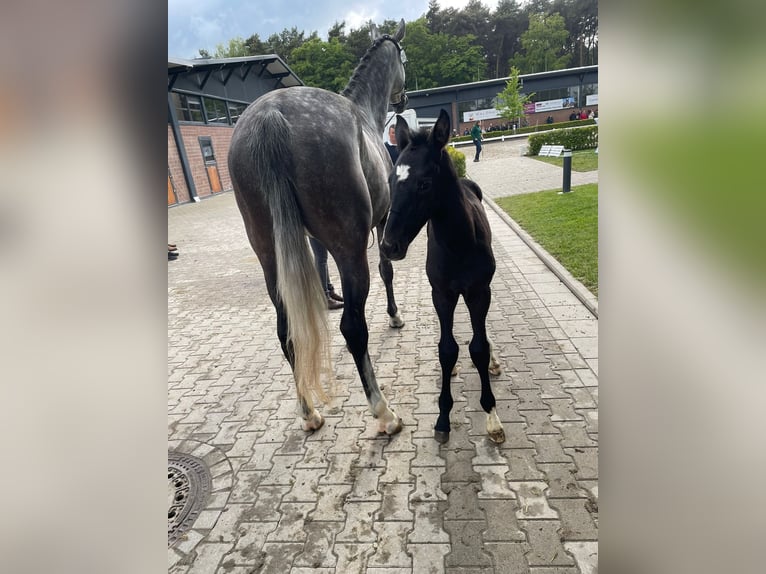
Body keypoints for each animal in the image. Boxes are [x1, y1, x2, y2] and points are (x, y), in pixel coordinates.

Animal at [228, 21, 408, 435]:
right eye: (403, 59)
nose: (403, 99)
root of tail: (271, 115)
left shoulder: (314, 243)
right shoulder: (381, 224)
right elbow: (387, 270)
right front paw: (394, 315)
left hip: (269, 256)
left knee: (287, 332)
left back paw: (309, 412)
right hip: (350, 249)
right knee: (353, 328)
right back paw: (383, 413)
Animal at [381, 108, 506, 444]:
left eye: (424, 184)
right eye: (391, 181)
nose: (388, 246)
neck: (459, 244)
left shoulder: (479, 292)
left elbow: (478, 347)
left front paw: (492, 416)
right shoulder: (442, 295)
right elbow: (447, 350)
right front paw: (442, 418)